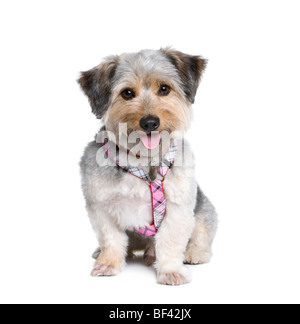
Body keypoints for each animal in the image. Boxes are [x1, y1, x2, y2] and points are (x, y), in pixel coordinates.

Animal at [78, 46, 217, 284]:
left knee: (201, 236)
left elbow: (170, 241)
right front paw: (108, 263)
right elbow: (111, 239)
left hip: (203, 212)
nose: (150, 122)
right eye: (127, 93)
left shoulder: (178, 208)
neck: (142, 160)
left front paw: (171, 270)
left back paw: (192, 254)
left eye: (164, 88)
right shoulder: (101, 207)